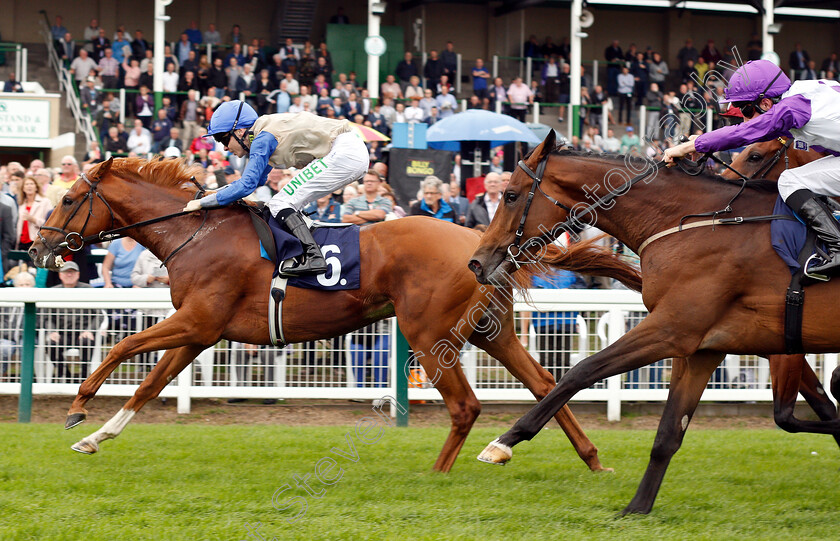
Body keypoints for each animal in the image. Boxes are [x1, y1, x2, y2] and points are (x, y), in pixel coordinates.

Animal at [27, 156, 632, 472]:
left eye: (68, 200)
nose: (37, 248)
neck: (194, 233)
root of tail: (480, 240)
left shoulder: (197, 322)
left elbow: (123, 346)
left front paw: (77, 408)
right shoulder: (200, 332)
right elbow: (149, 384)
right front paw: (96, 436)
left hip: (428, 332)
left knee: (466, 406)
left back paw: (439, 475)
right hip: (492, 331)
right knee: (546, 383)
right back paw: (590, 459)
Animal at [470, 130, 840, 510]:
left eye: (511, 195)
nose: (476, 262)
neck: (694, 223)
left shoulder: (672, 330)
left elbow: (580, 371)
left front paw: (504, 442)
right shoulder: (700, 347)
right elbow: (669, 433)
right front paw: (637, 508)